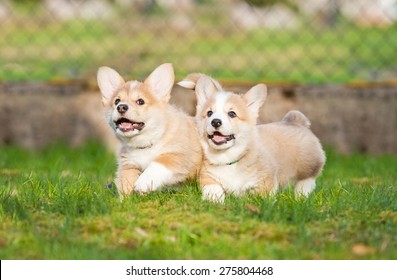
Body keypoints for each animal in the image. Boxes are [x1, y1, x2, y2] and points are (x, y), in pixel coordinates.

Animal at [96, 63, 201, 197]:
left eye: (140, 101)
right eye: (117, 101)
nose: (121, 107)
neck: (144, 144)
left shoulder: (177, 155)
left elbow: (157, 164)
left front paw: (143, 183)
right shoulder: (129, 164)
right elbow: (127, 179)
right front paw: (126, 198)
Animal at [178, 73, 324, 202]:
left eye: (232, 114)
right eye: (209, 113)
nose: (215, 122)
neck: (228, 159)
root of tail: (295, 121)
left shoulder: (266, 181)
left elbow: (261, 195)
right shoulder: (208, 177)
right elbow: (213, 189)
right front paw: (213, 200)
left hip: (309, 165)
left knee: (307, 181)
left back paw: (301, 195)